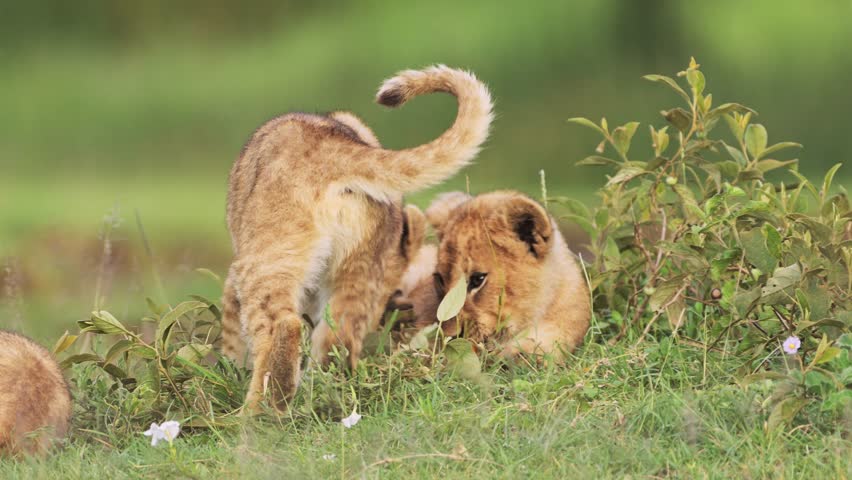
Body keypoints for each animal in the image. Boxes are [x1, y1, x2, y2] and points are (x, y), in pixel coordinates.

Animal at [220, 66, 493, 410]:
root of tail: (334, 147)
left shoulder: (235, 277)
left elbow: (231, 332)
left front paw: (229, 371)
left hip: (268, 256)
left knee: (283, 326)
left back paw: (257, 413)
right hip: (358, 269)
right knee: (338, 343)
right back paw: (319, 401)